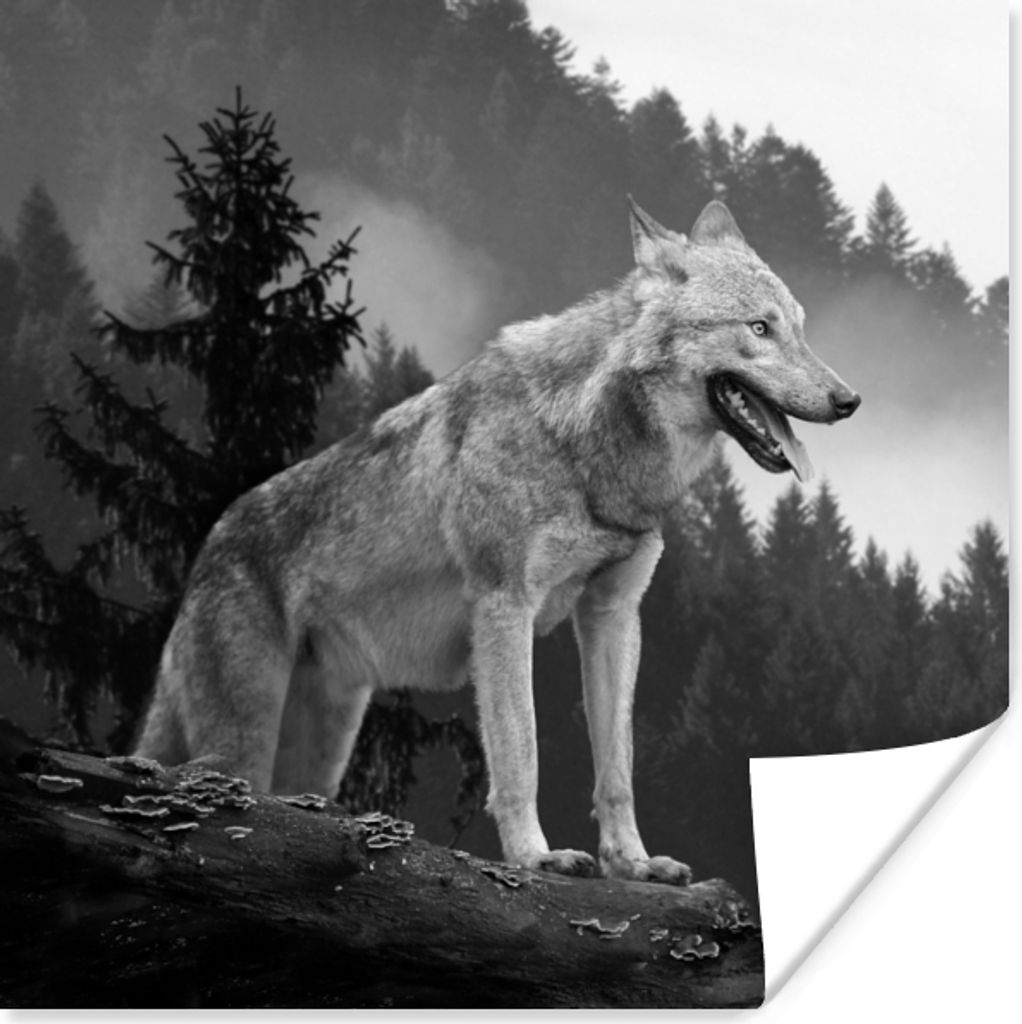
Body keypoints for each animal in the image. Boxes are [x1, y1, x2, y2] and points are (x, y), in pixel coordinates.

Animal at [135, 198, 859, 883]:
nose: (849, 400)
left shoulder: (614, 615)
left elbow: (617, 767)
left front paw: (633, 863)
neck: (586, 446)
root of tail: (206, 549)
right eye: (759, 328)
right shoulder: (505, 606)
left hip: (321, 751)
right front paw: (535, 857)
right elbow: (522, 753)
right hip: (244, 743)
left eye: (799, 326)